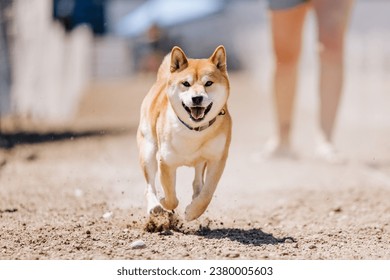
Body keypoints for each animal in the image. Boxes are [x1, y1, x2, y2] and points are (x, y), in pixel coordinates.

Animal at [136, 45, 230, 221]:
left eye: (208, 83)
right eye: (186, 83)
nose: (197, 98)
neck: (193, 130)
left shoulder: (217, 159)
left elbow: (207, 193)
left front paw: (193, 212)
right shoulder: (166, 162)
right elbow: (171, 197)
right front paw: (164, 202)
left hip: (202, 159)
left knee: (198, 179)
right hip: (148, 150)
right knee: (149, 186)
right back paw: (154, 206)